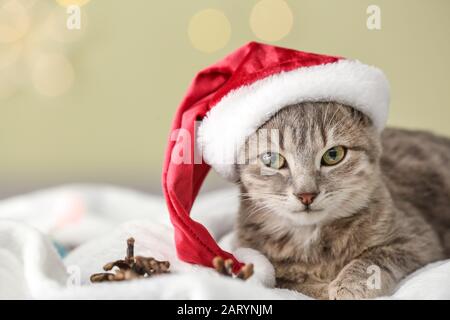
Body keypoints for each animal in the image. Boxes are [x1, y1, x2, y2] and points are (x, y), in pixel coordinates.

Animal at [236, 102, 450, 300]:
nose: (306, 194)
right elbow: (291, 284)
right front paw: (323, 288)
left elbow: (374, 257)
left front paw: (349, 285)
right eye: (271, 160)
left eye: (333, 155)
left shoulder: (418, 239)